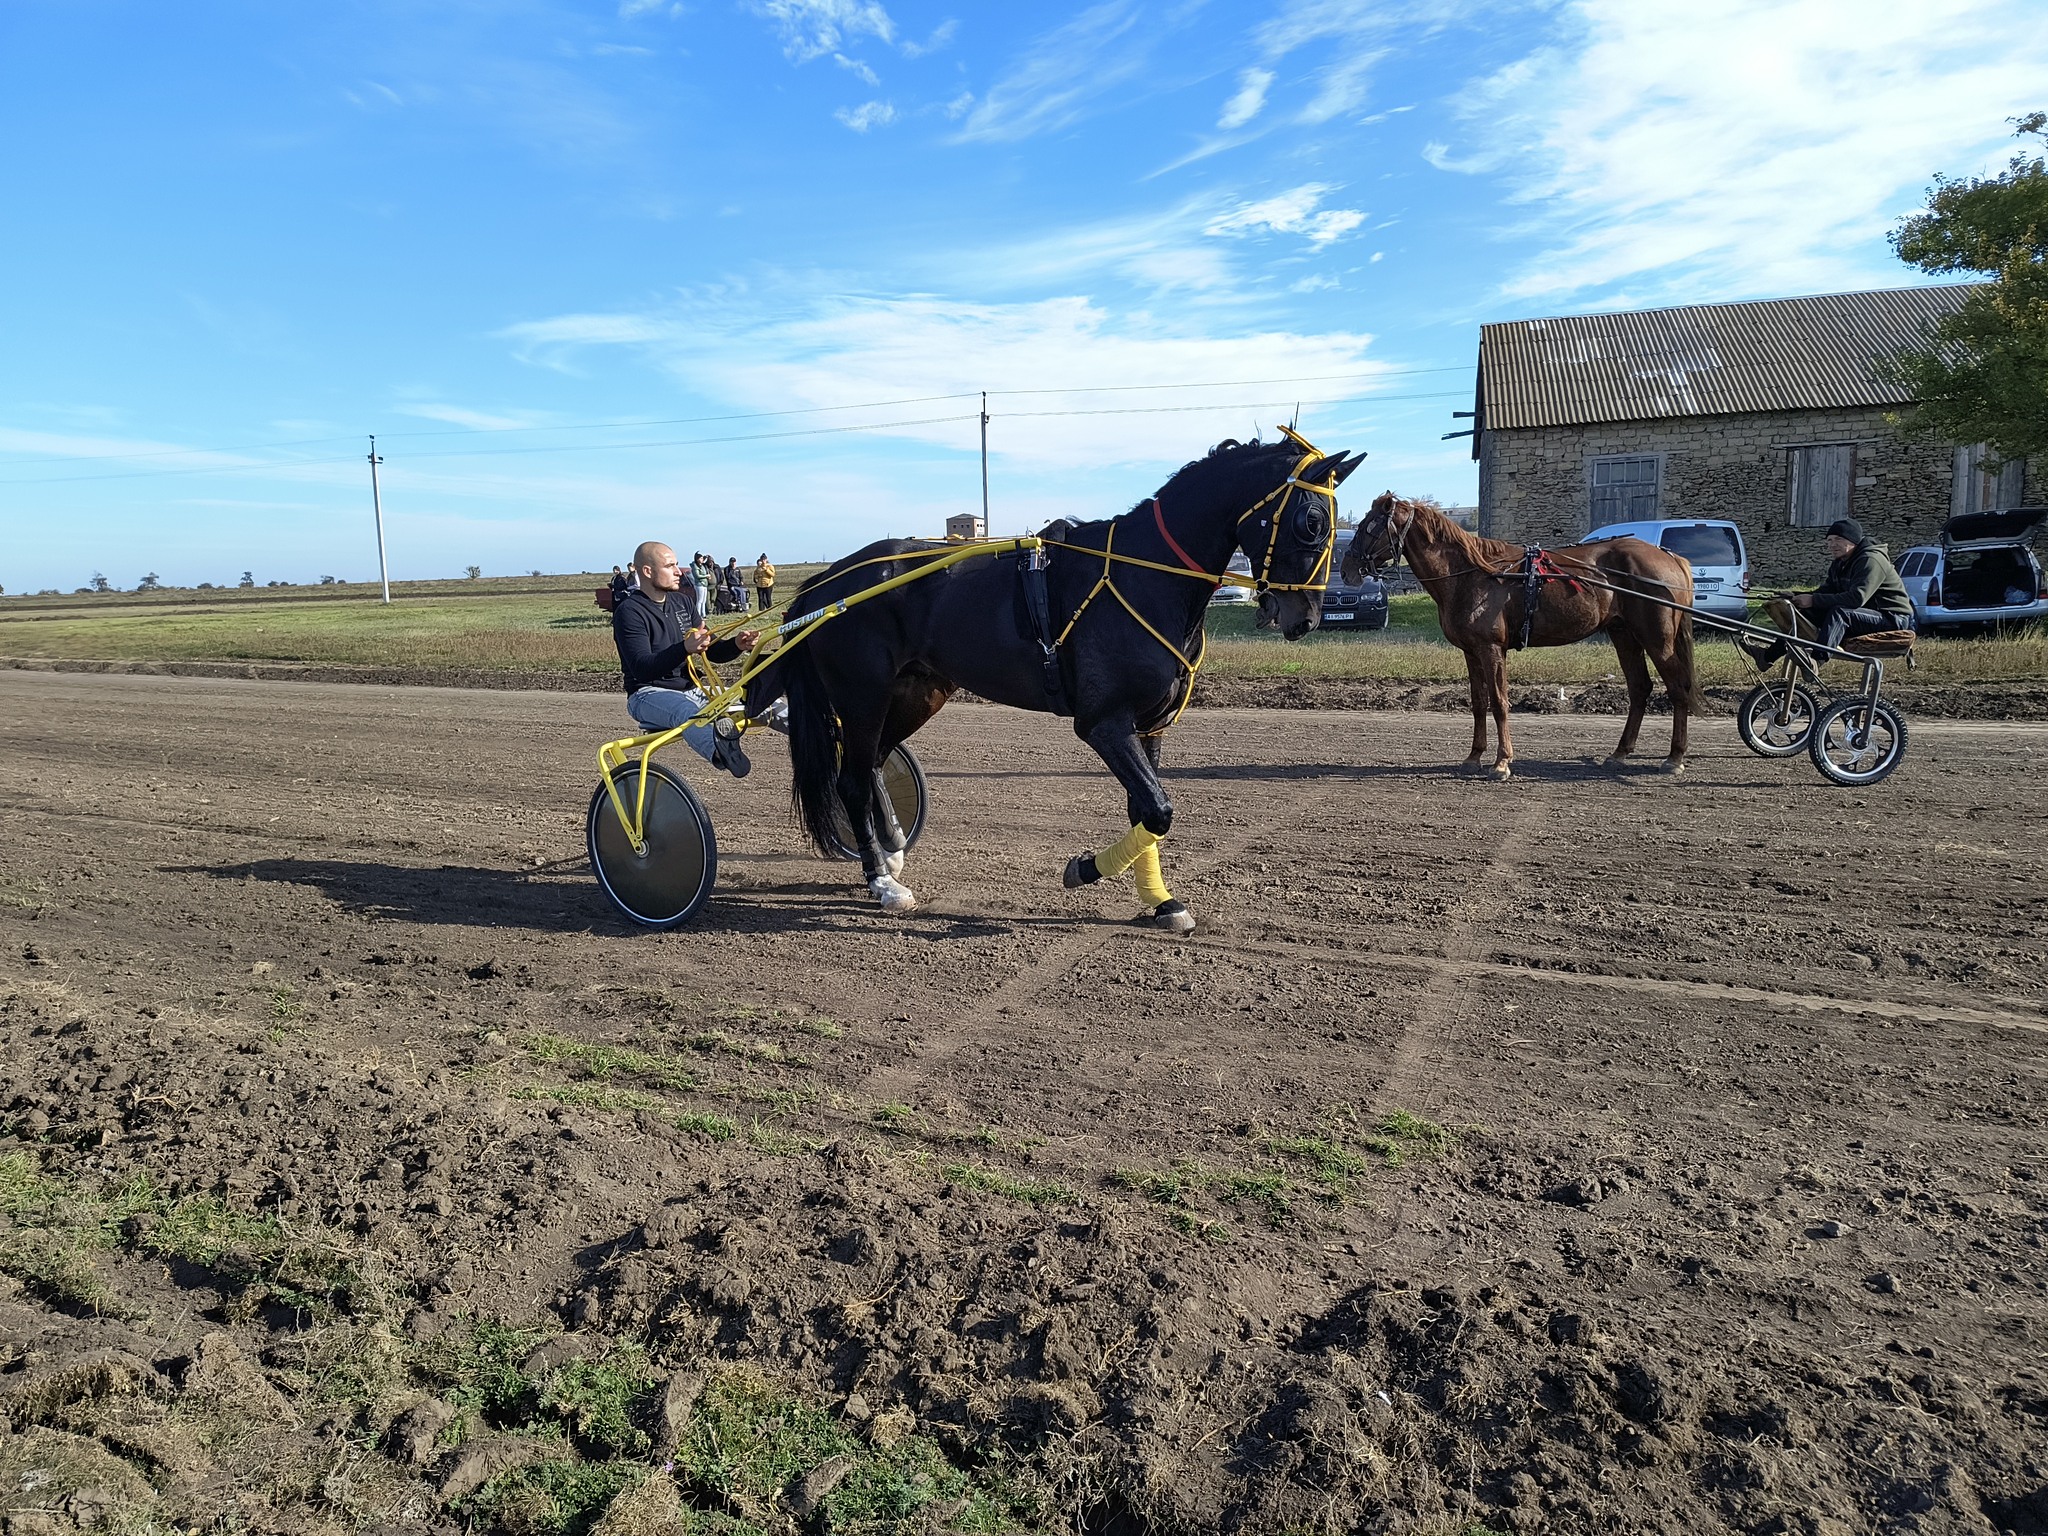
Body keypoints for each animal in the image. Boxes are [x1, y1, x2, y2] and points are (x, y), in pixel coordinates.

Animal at [749, 436, 1359, 937]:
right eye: (1311, 521)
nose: (1304, 617)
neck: (1144, 573)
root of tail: (825, 584)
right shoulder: (1103, 723)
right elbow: (1158, 809)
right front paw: (1085, 869)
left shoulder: (1150, 725)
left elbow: (1146, 811)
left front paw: (1162, 902)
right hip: (863, 695)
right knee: (851, 779)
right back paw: (882, 881)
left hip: (918, 692)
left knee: (874, 761)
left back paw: (893, 849)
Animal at [1343, 495, 1695, 782]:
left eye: (1370, 526)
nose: (1346, 568)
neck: (1476, 574)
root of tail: (1670, 557)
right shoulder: (1471, 651)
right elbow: (1478, 703)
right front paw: (1474, 757)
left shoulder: (1492, 649)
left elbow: (1499, 703)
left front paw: (1502, 762)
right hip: (1624, 635)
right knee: (1639, 688)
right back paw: (1620, 753)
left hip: (1657, 639)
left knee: (1678, 688)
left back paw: (1674, 757)